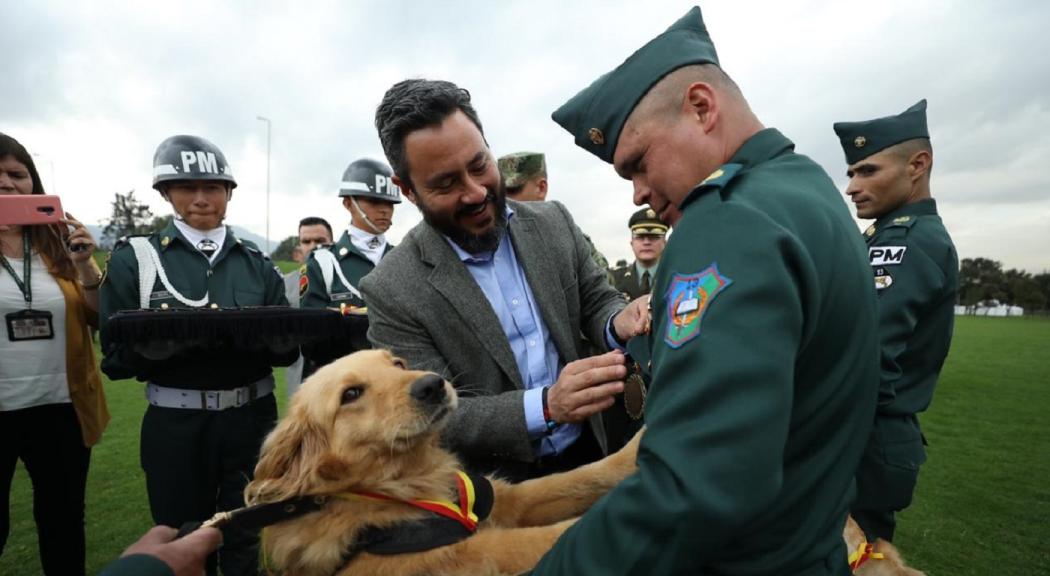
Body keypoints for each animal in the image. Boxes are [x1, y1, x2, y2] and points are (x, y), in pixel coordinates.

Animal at [245, 348, 638, 570]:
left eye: (398, 363)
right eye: (351, 394)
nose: (433, 384)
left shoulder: (500, 499)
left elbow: (578, 477)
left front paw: (637, 447)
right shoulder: (460, 554)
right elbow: (551, 537)